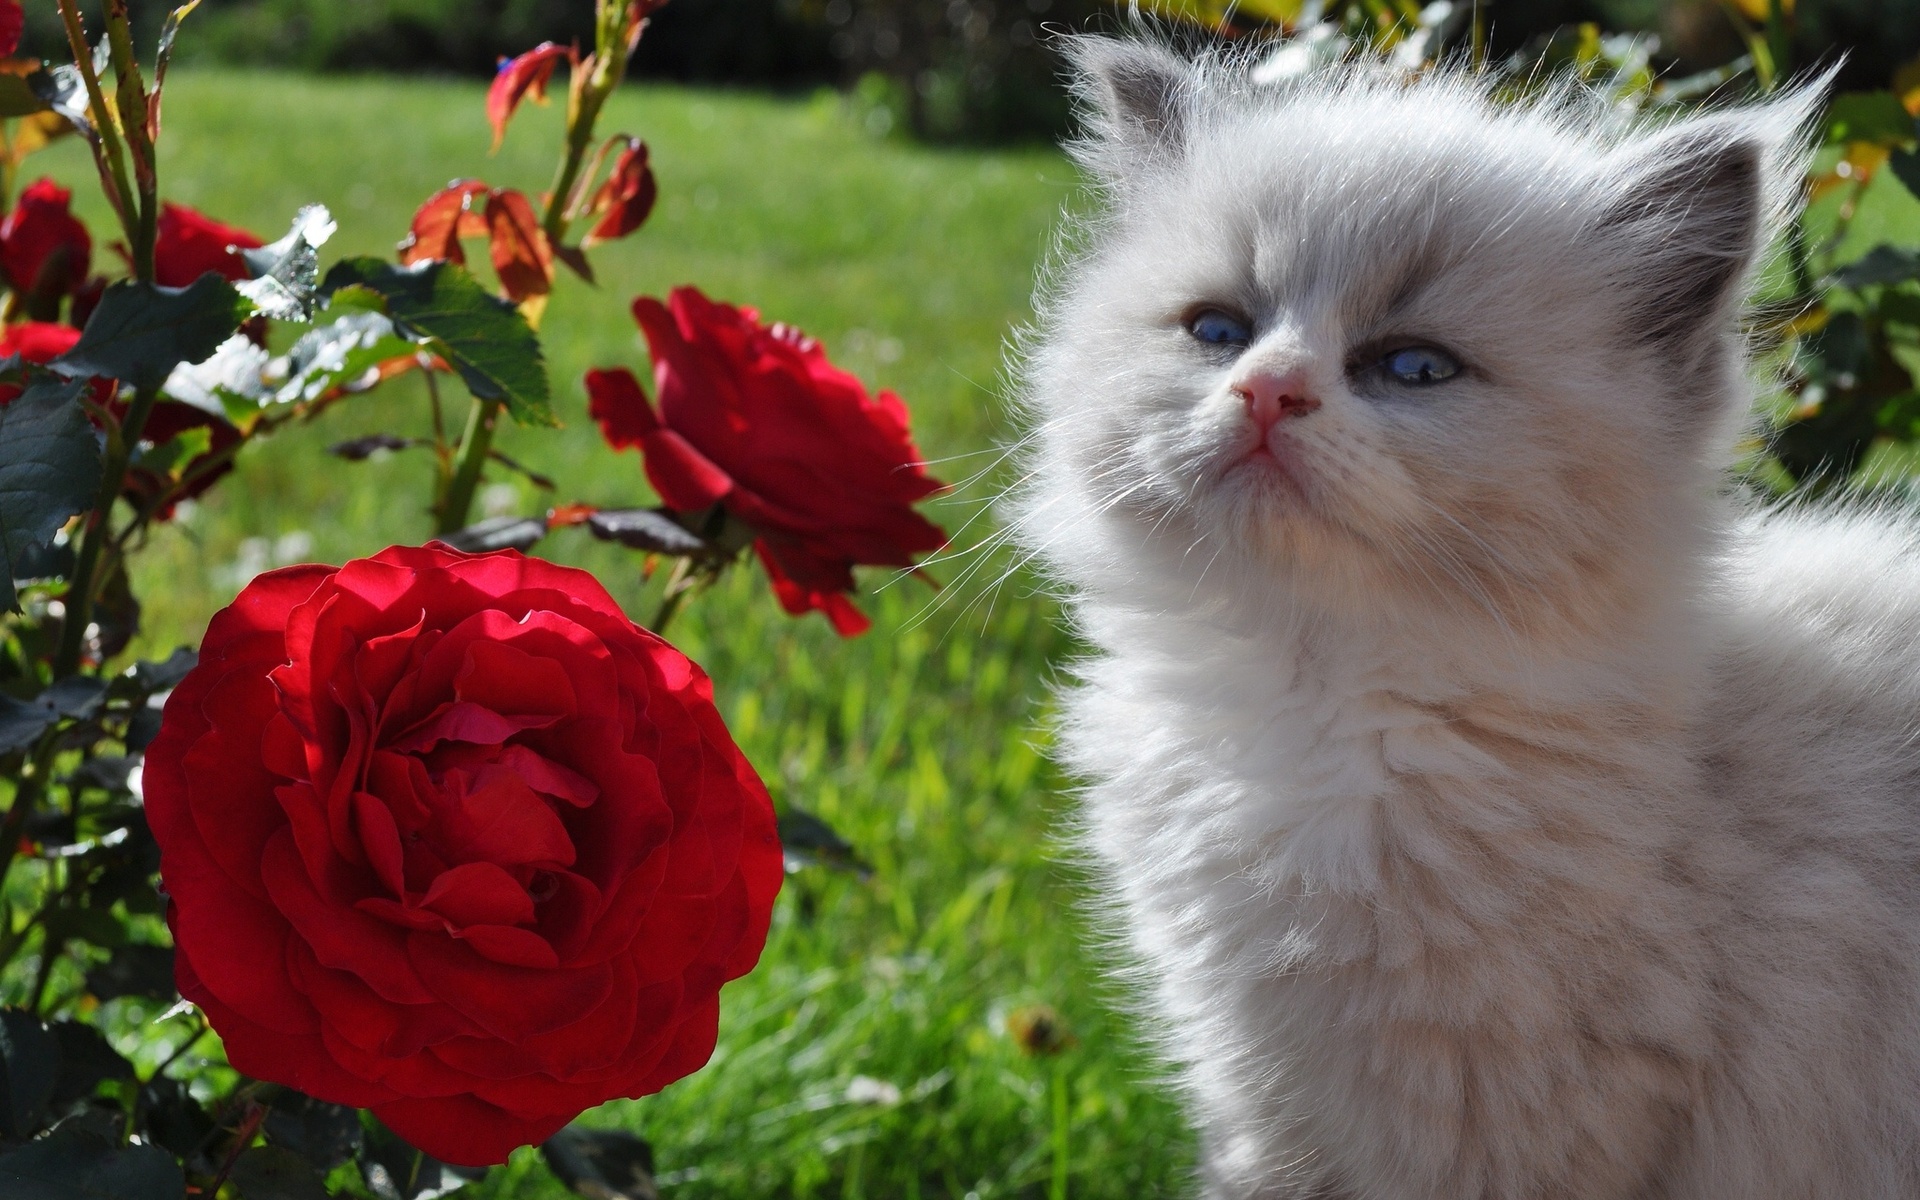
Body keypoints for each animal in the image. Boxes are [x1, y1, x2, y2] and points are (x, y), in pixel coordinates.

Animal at [1013, 32, 1920, 1190]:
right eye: (1219, 330)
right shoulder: (1264, 1112)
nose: (1266, 391)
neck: (1313, 702)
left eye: (1414, 367)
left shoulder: (1503, 1127)